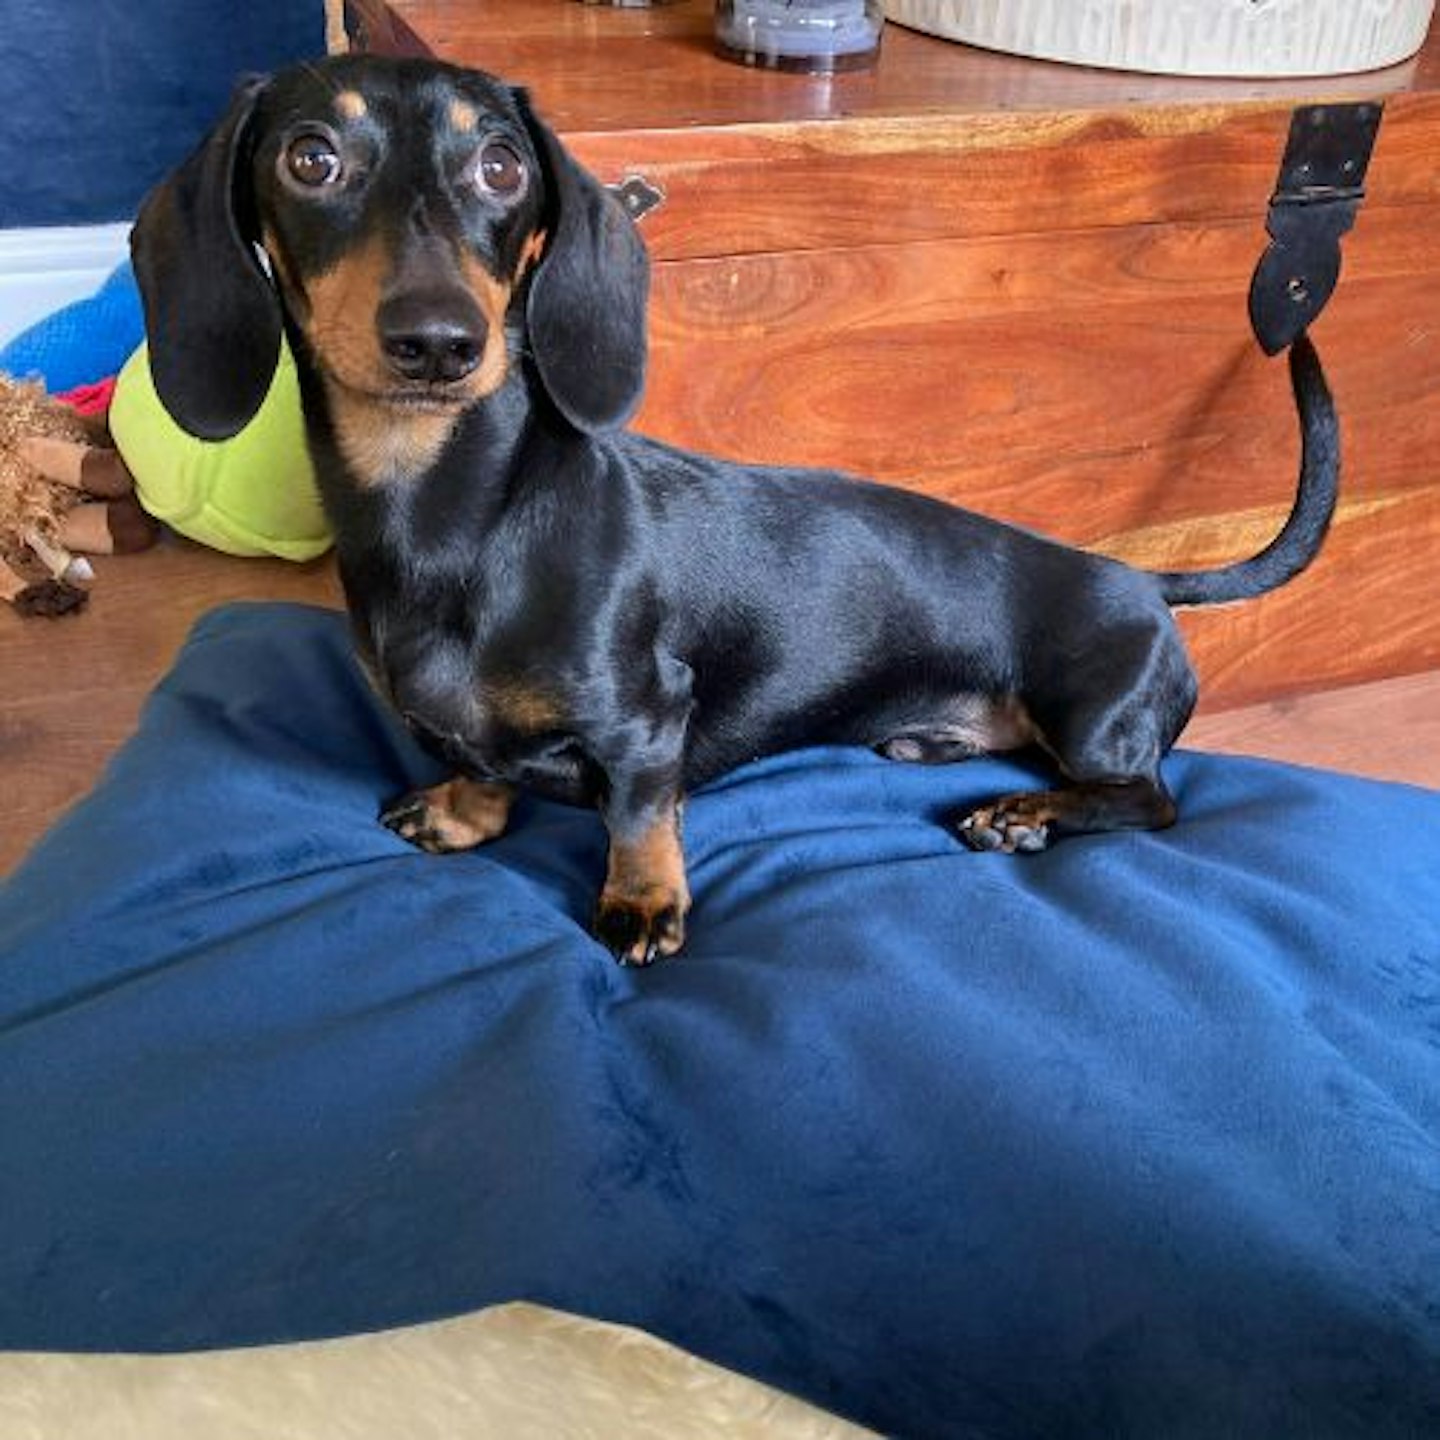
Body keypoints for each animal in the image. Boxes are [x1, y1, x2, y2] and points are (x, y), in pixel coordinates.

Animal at [132, 53, 1336, 967]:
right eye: (310, 158)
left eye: (501, 164)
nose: (437, 341)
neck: (451, 518)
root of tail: (1138, 574)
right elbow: (477, 760)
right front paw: (465, 808)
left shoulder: (646, 716)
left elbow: (637, 813)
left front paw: (643, 901)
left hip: (1096, 710)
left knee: (1147, 798)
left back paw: (1028, 815)